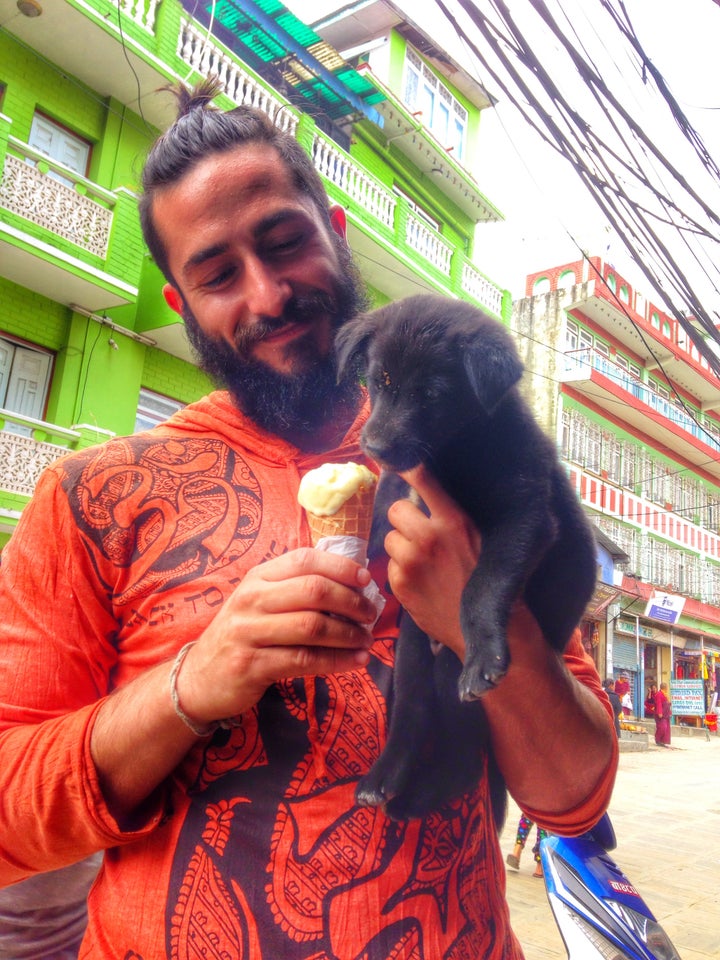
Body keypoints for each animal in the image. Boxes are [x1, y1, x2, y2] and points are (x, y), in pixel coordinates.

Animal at [336, 292, 596, 816]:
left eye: (433, 395)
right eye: (379, 381)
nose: (373, 447)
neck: (456, 450)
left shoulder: (525, 514)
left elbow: (482, 585)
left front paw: (485, 655)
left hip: (448, 666)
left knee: (462, 756)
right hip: (414, 647)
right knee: (413, 712)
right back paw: (386, 780)